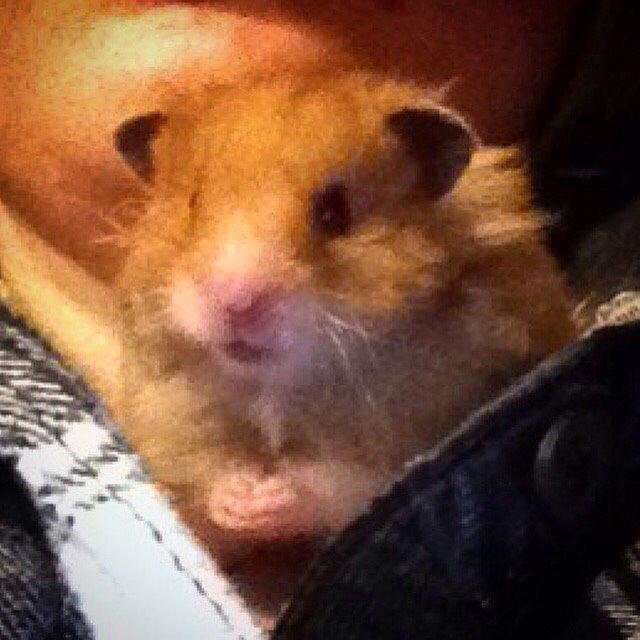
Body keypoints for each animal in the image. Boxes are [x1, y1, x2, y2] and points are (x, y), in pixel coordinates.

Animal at [107, 71, 576, 616]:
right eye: (193, 204)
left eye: (335, 213)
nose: (236, 302)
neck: (279, 387)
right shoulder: (169, 413)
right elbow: (209, 469)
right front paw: (241, 500)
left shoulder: (409, 440)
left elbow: (332, 483)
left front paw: (266, 501)